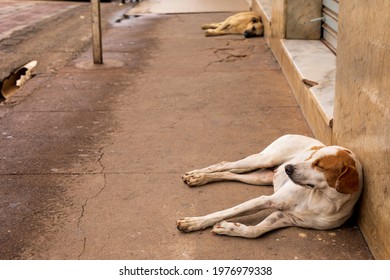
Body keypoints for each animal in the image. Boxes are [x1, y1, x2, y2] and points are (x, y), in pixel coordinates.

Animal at [177, 135, 362, 238]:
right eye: (310, 157)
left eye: (320, 165)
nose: (289, 168)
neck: (323, 199)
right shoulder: (267, 200)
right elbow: (226, 212)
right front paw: (194, 222)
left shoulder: (285, 217)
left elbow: (255, 231)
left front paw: (230, 228)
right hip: (262, 159)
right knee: (225, 164)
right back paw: (197, 174)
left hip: (258, 177)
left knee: (229, 173)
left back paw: (200, 178)